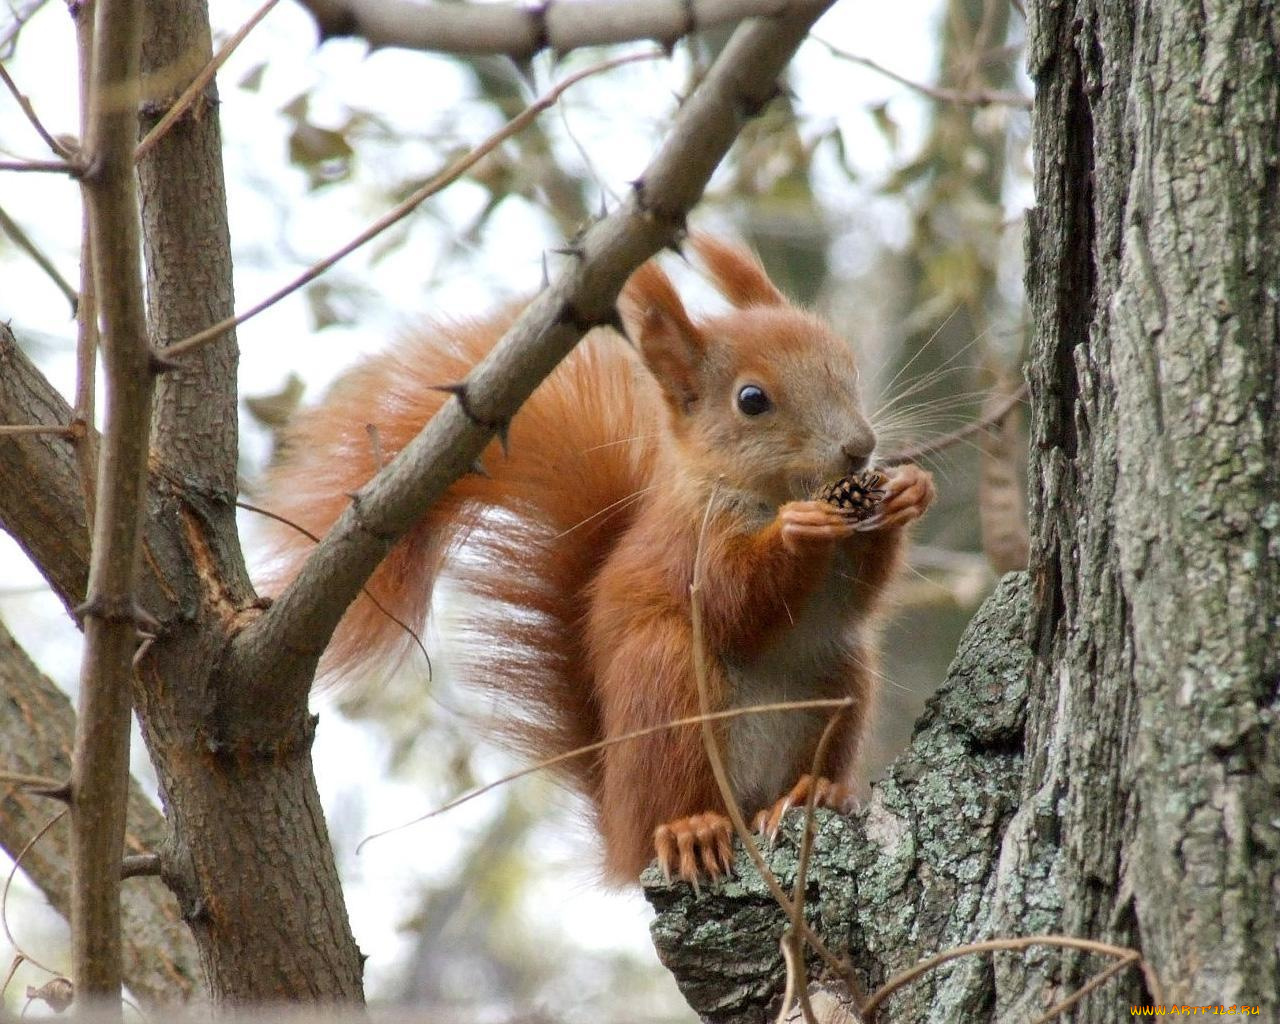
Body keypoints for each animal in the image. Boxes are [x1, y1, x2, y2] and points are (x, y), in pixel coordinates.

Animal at [259, 238, 936, 880]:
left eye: (845, 363)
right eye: (752, 399)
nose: (860, 447)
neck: (769, 494)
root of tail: (620, 828)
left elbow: (862, 594)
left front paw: (908, 491)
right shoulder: (688, 545)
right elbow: (733, 600)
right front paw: (798, 531)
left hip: (840, 677)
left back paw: (811, 792)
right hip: (664, 683)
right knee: (678, 794)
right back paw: (691, 829)